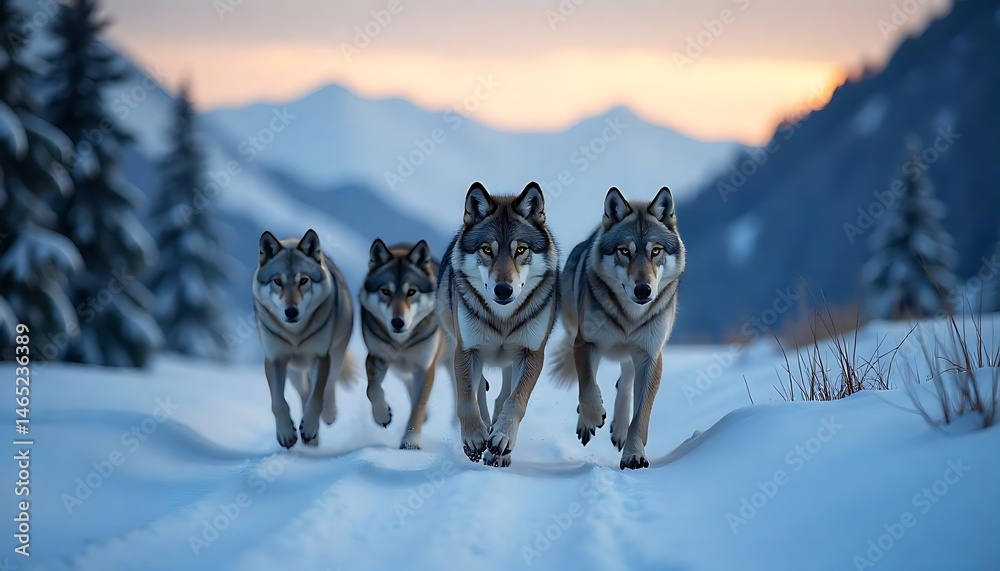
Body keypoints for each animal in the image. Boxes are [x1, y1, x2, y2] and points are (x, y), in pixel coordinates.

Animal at [253, 229, 356, 449]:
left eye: (303, 281)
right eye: (277, 282)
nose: (291, 311)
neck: (295, 335)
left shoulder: (321, 357)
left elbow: (317, 398)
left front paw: (308, 428)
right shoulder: (274, 360)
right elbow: (278, 402)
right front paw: (286, 433)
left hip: (335, 357)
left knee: (328, 385)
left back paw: (327, 416)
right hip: (294, 371)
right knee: (303, 393)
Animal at [360, 238, 452, 450]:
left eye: (411, 292)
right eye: (385, 291)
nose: (397, 322)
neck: (402, 343)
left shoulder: (426, 368)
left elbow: (418, 405)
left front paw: (411, 442)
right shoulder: (376, 358)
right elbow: (372, 390)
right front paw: (382, 415)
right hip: (399, 369)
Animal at [437, 181, 560, 467]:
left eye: (520, 250)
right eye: (487, 249)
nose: (503, 290)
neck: (503, 318)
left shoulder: (532, 354)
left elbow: (515, 401)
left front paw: (501, 439)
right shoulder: (466, 349)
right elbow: (467, 398)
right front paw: (474, 438)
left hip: (511, 361)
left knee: (501, 397)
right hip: (455, 346)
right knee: (480, 389)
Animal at [553, 187, 685, 470]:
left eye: (655, 251)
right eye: (624, 251)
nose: (643, 290)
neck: (629, 318)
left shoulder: (651, 356)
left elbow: (641, 416)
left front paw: (634, 454)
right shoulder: (585, 343)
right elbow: (587, 386)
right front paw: (592, 418)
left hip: (632, 353)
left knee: (624, 380)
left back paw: (619, 429)